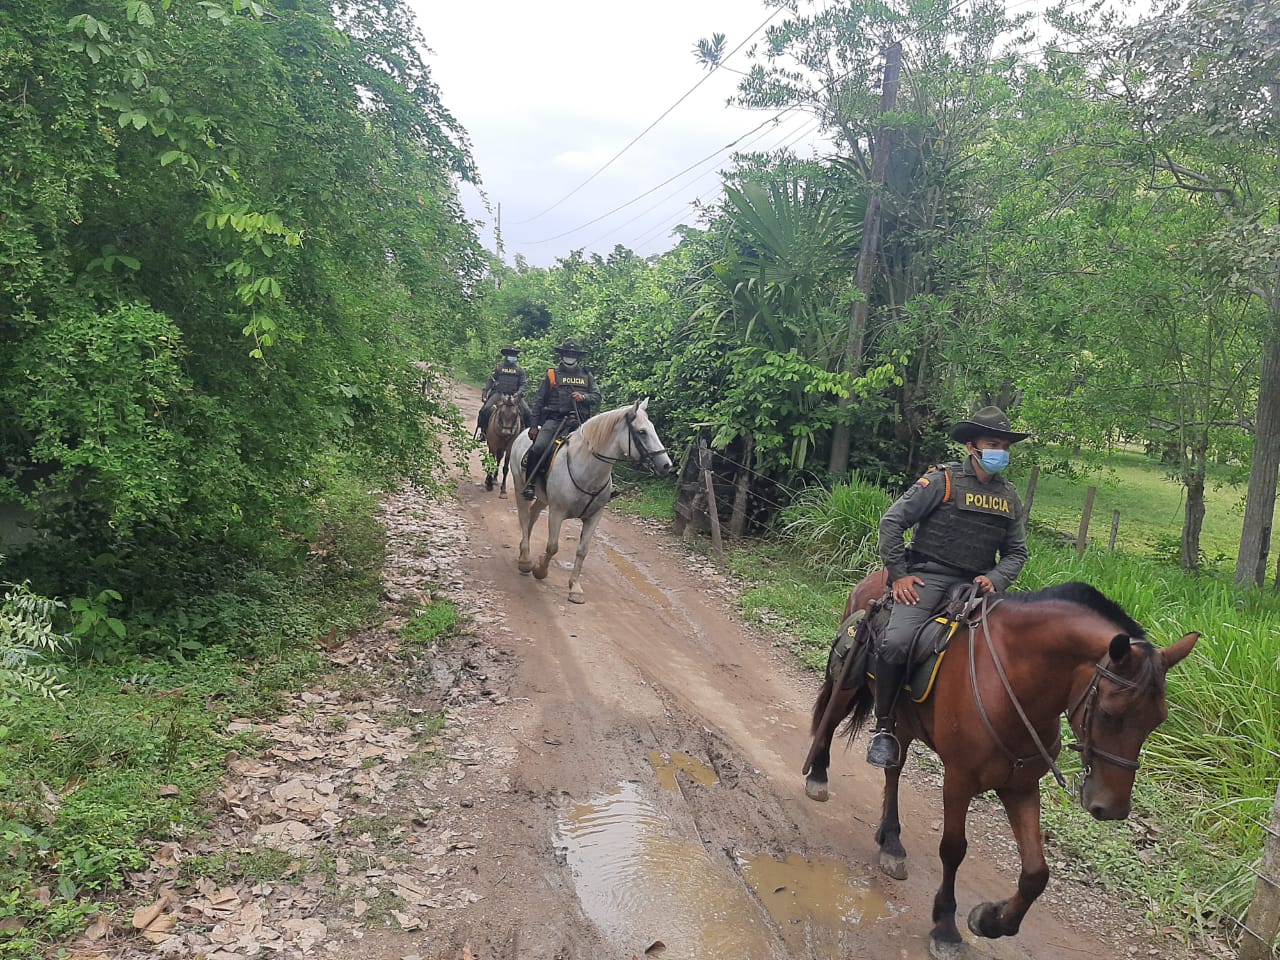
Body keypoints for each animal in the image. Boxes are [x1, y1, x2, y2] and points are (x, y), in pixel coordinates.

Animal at [509, 399, 675, 601]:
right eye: (642, 432)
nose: (666, 465)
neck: (587, 471)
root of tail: (524, 432)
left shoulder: (594, 516)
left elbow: (582, 551)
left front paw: (575, 587)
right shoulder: (557, 512)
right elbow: (553, 546)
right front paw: (540, 570)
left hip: (543, 498)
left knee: (532, 517)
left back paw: (523, 553)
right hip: (520, 486)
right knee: (524, 518)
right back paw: (525, 561)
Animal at [803, 576, 1192, 957]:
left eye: (1158, 720)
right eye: (1110, 713)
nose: (1112, 808)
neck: (1012, 685)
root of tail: (874, 580)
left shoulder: (1020, 785)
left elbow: (1036, 873)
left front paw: (990, 920)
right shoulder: (958, 779)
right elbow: (953, 849)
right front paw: (946, 927)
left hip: (905, 720)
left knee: (893, 769)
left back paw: (891, 841)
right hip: (848, 684)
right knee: (831, 722)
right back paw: (818, 777)